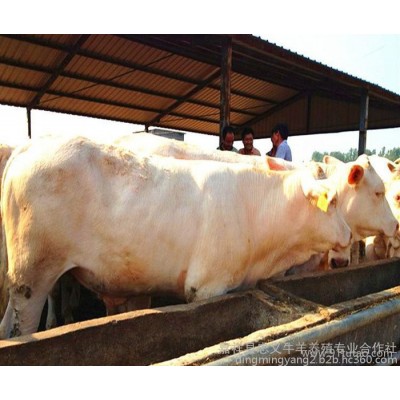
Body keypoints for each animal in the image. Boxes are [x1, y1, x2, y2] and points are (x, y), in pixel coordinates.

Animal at [0, 137, 350, 338]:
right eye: (332, 201)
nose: (349, 237)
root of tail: (27, 148)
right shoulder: (207, 286)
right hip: (34, 274)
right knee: (21, 327)